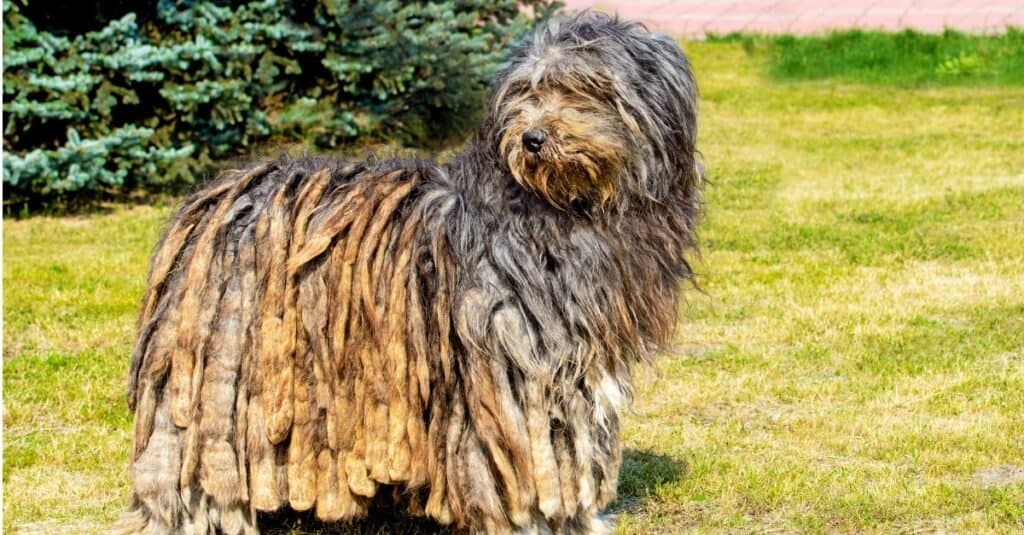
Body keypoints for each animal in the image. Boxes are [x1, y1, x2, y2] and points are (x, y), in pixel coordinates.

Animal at [114, 9, 704, 532]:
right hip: (217, 368)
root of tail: (213, 200)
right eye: (526, 93)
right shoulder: (511, 361)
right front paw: (541, 521)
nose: (533, 139)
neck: (561, 206)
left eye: (585, 88)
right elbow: (530, 458)